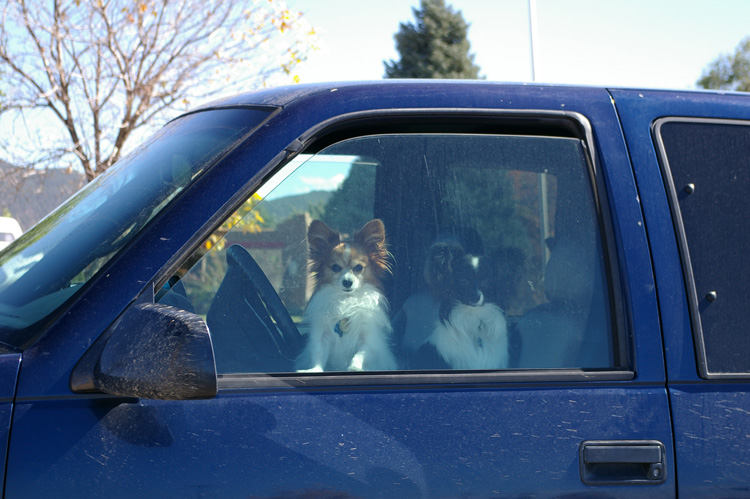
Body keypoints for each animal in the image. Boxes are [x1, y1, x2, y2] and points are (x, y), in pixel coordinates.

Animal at [296, 219, 400, 372]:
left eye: (358, 268)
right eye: (335, 267)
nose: (347, 282)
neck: (346, 301)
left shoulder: (368, 339)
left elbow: (360, 354)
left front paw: (354, 368)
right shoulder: (322, 336)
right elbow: (319, 354)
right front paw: (314, 370)